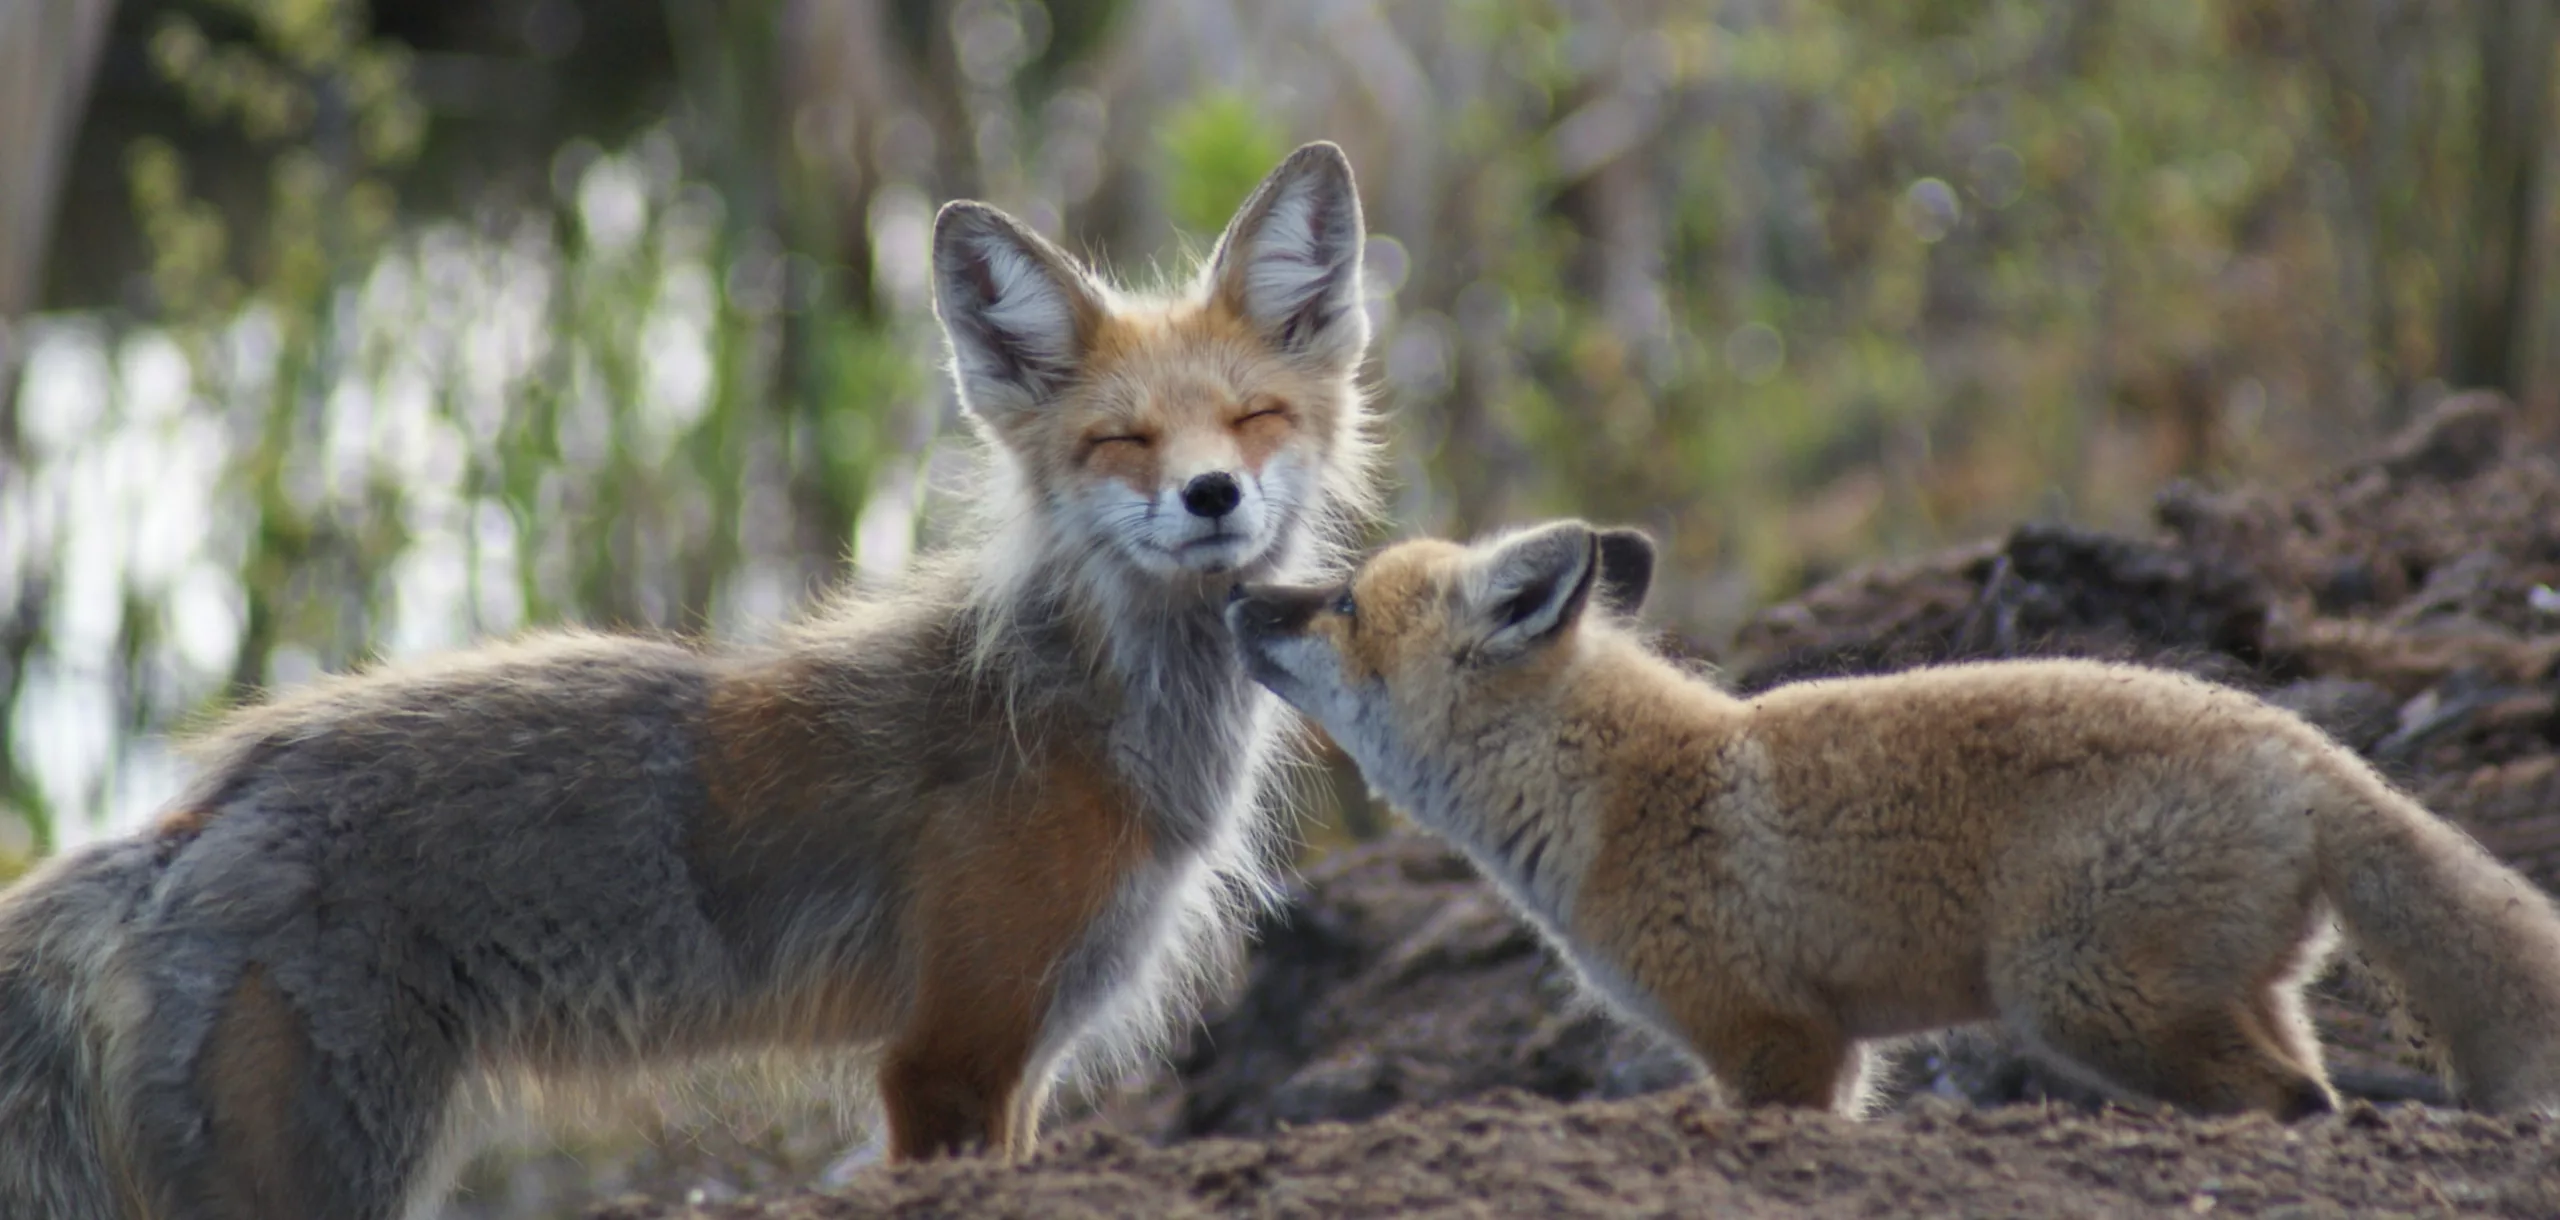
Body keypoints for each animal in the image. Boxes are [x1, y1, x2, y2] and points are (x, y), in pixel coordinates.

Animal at [0, 138, 1392, 1212]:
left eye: (1256, 417)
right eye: (1121, 440)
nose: (1209, 494)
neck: (1083, 719)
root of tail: (195, 815)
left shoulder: (1018, 1059)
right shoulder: (951, 1052)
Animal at [1228, 519, 2560, 1115]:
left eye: (1340, 603)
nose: (1239, 592)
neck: (1616, 794)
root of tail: (2309, 747)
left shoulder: (1774, 1036)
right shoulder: (1833, 1046)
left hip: (2074, 994)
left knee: (2298, 1103)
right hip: (2195, 996)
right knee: (2311, 1091)